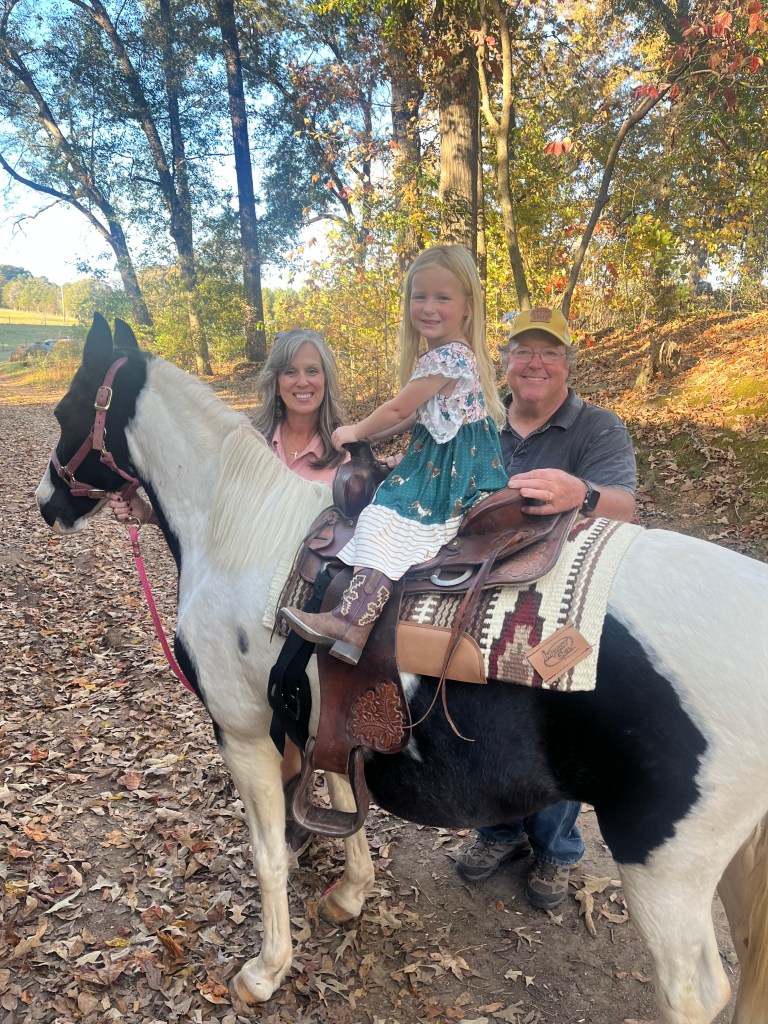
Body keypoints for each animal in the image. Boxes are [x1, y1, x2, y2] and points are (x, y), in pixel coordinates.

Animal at [36, 314, 768, 1024]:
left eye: (67, 409)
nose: (47, 502)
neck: (237, 531)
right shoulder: (322, 711)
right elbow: (339, 792)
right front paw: (350, 894)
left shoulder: (243, 733)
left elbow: (270, 855)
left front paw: (266, 970)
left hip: (667, 866)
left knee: (694, 994)